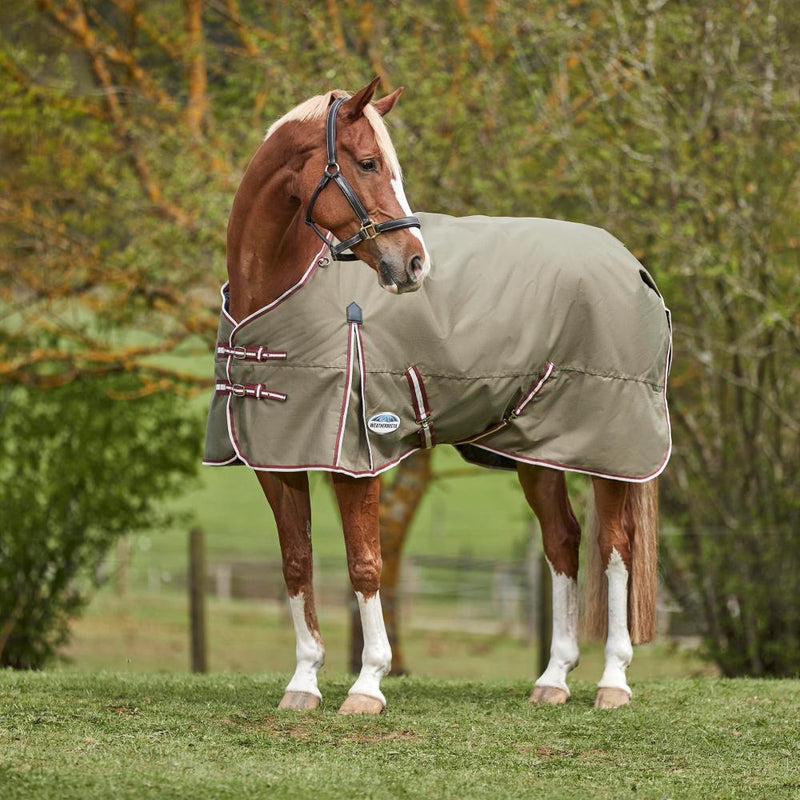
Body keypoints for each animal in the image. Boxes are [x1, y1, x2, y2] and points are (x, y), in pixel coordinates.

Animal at [205, 77, 672, 714]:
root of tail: (633, 265)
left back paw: (613, 681)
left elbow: (365, 564)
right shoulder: (277, 460)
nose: (414, 264)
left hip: (609, 447)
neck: (282, 294)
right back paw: (552, 679)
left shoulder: (357, 455)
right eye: (369, 163)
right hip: (538, 449)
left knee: (616, 546)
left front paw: (368, 684)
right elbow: (297, 563)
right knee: (563, 542)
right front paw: (303, 683)